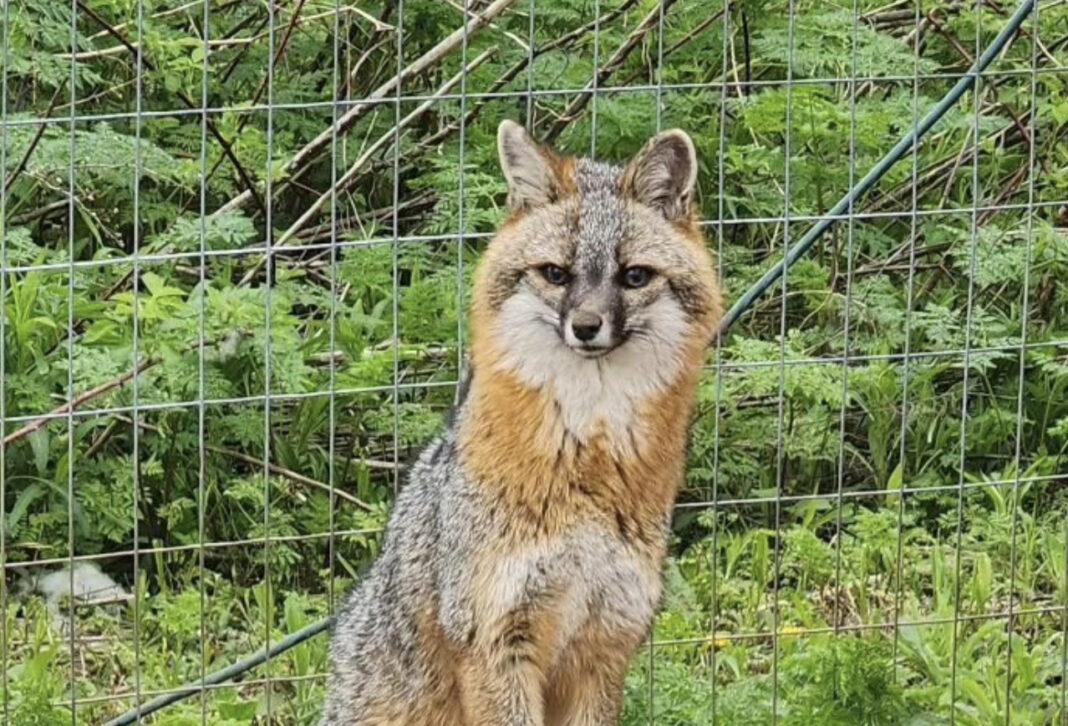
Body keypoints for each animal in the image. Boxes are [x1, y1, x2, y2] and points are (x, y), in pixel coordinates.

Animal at [319, 119, 722, 726]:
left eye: (634, 277)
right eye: (555, 274)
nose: (586, 326)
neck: (586, 463)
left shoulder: (607, 642)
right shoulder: (493, 638)